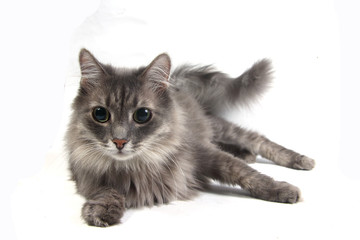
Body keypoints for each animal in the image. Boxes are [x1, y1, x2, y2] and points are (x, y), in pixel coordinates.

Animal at [65, 48, 316, 227]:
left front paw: (281, 189)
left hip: (219, 128)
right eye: (100, 114)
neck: (139, 166)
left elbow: (246, 174)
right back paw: (247, 154)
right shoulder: (87, 176)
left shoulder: (203, 153)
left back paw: (301, 160)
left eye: (142, 115)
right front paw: (100, 210)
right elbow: (106, 190)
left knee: (257, 139)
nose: (119, 141)